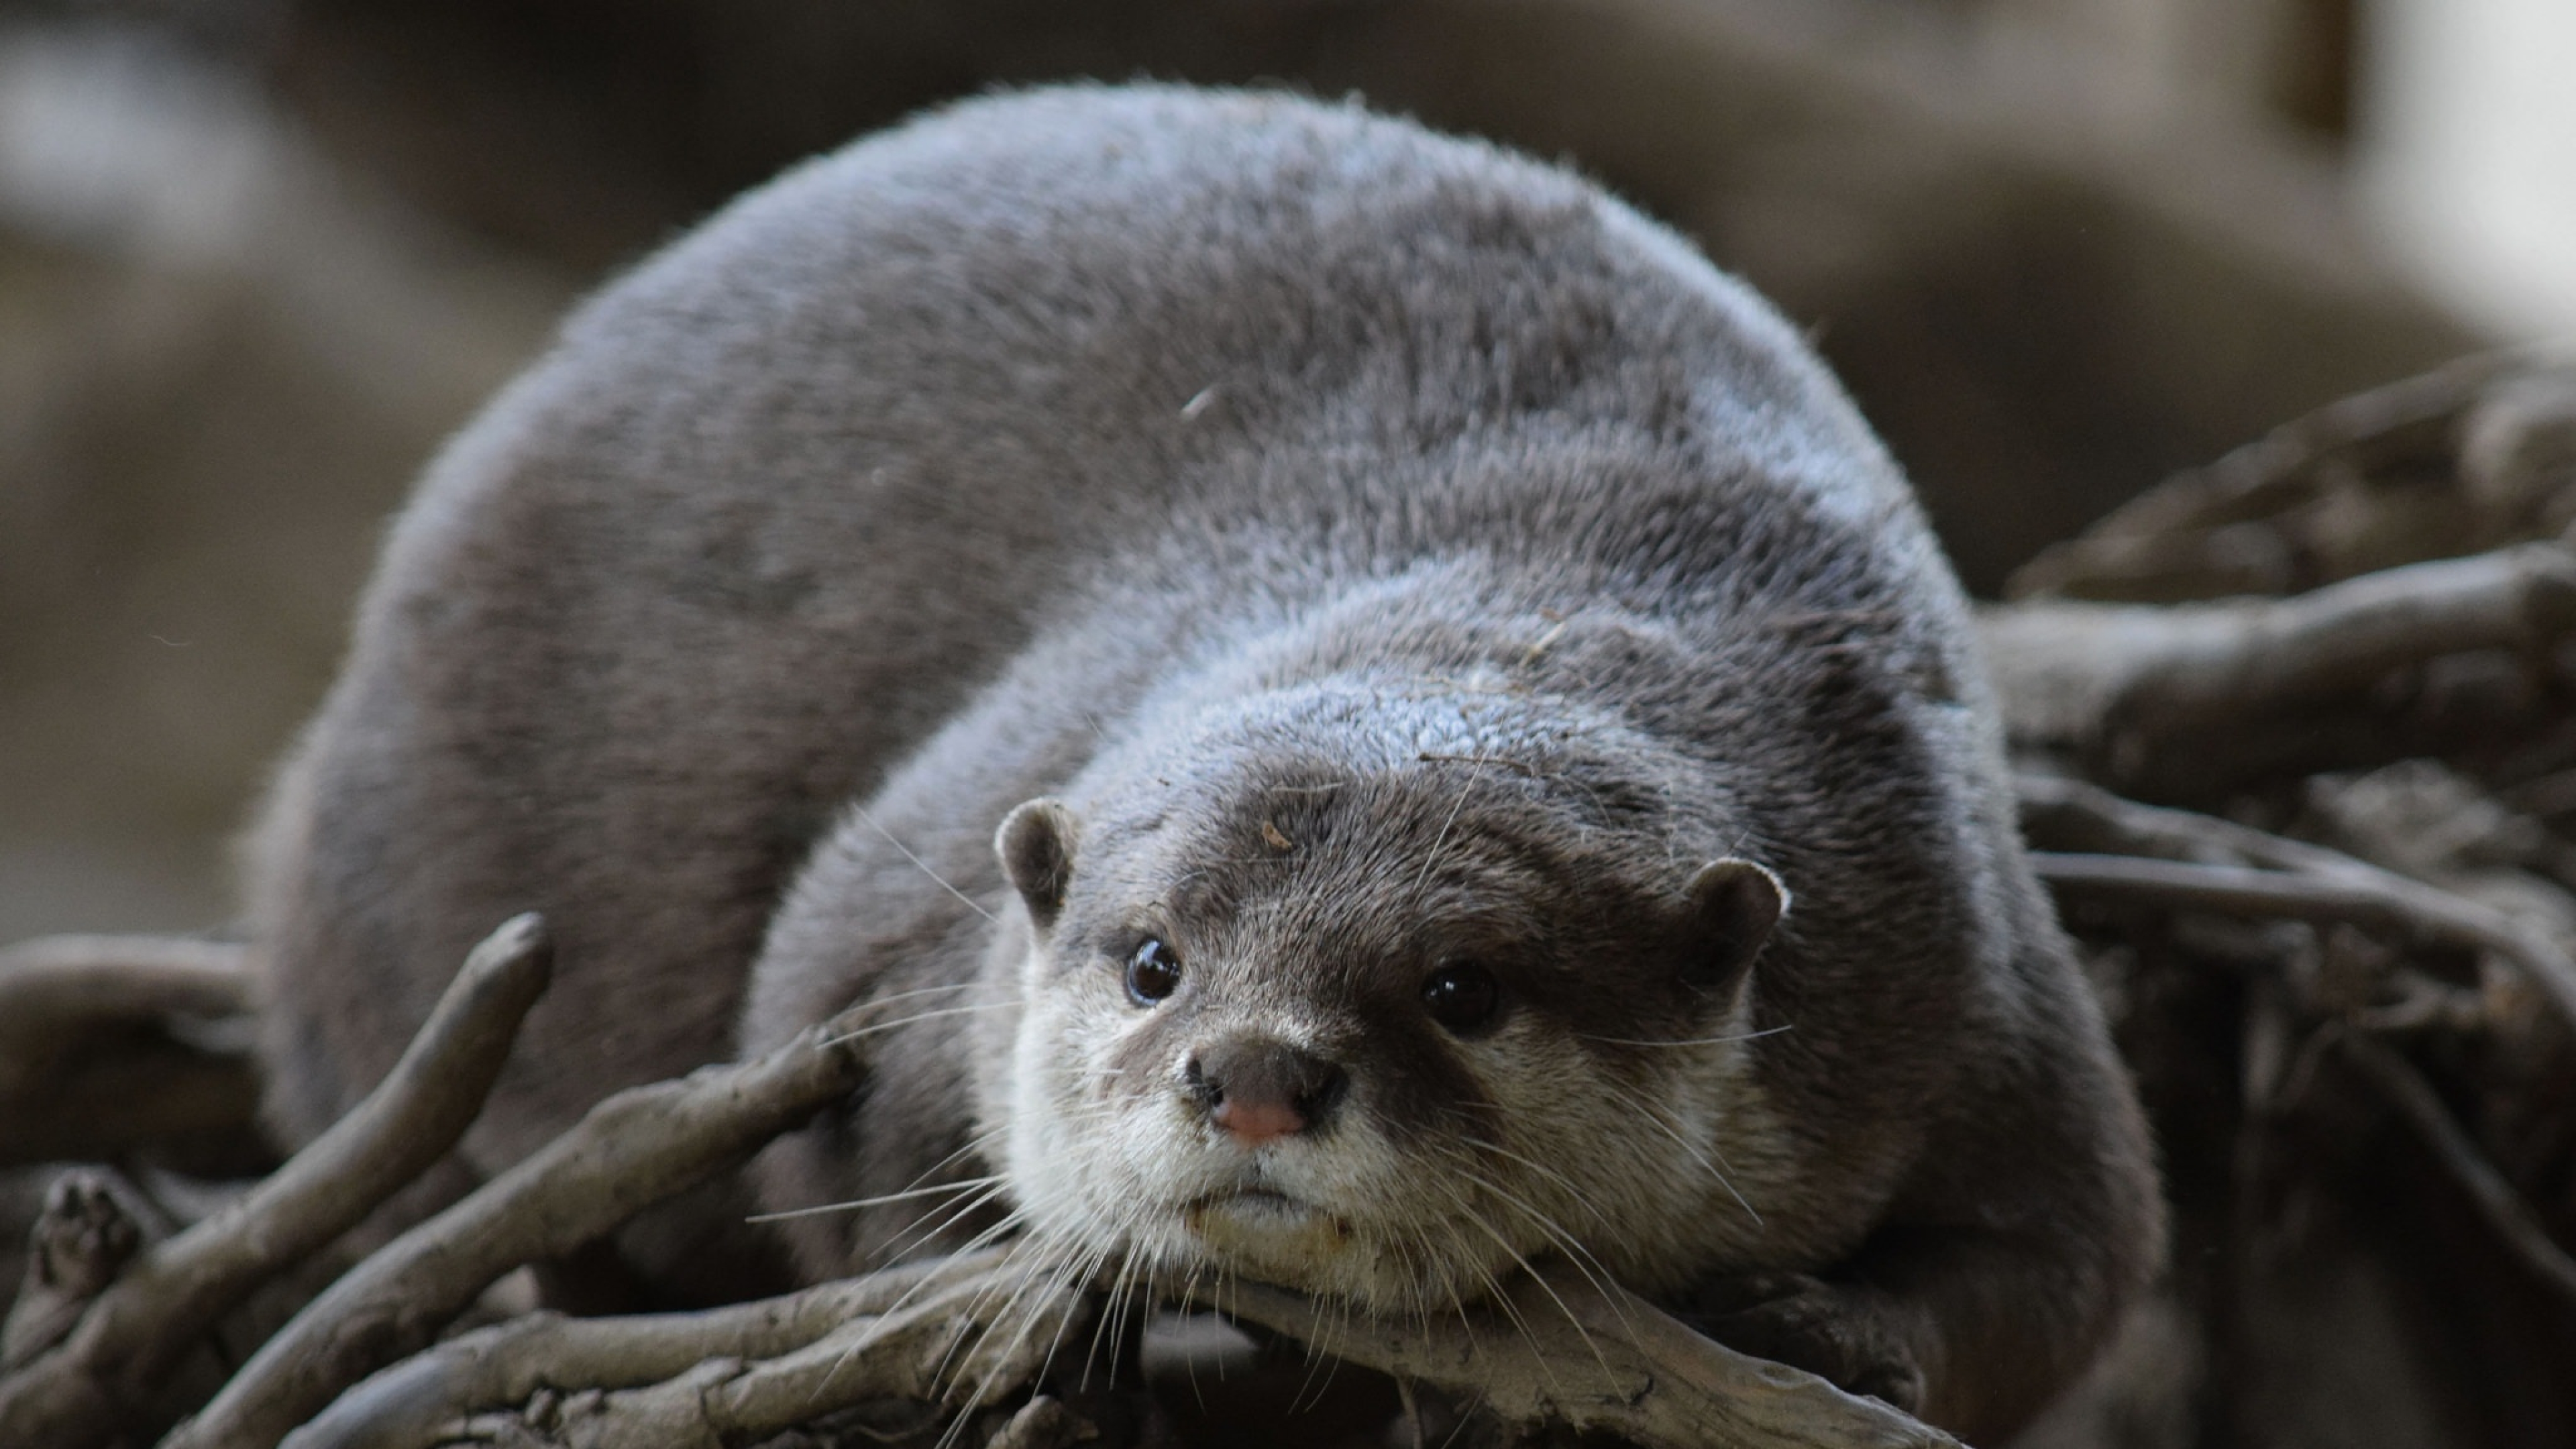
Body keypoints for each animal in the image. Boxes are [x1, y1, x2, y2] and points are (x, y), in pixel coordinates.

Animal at [251, 87, 2163, 1433]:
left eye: (1465, 986)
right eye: (1153, 959)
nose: (1251, 1073)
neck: (1552, 572)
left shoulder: (1937, 930)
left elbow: (2079, 1265)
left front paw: (1822, 1324)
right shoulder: (901, 928)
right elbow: (847, 1161)